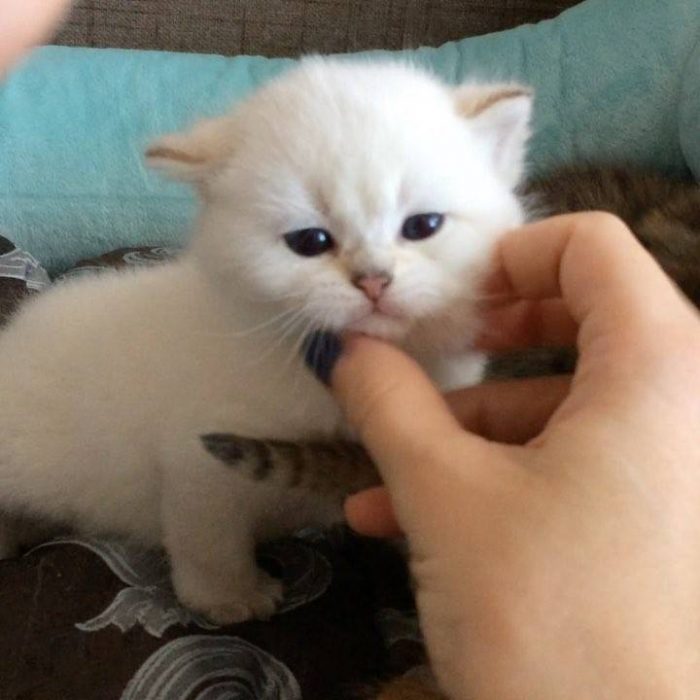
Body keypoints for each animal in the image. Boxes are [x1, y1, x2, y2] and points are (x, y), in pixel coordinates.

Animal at [0, 58, 532, 624]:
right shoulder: (199, 466)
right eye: (310, 241)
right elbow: (209, 541)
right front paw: (228, 597)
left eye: (422, 226)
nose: (373, 280)